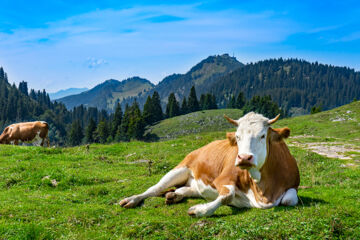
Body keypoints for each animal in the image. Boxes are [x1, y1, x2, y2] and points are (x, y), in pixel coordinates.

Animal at [119, 113, 300, 218]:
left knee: (185, 189)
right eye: (237, 136)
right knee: (154, 189)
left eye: (262, 135)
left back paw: (174, 195)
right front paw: (199, 211)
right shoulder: (223, 179)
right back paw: (132, 199)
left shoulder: (293, 185)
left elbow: (289, 200)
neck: (263, 192)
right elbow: (228, 195)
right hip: (180, 168)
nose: (244, 158)